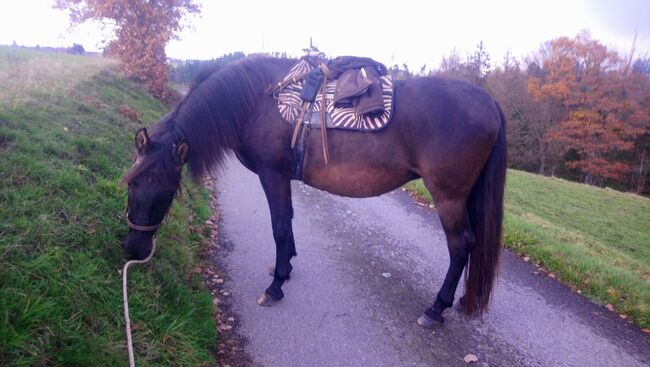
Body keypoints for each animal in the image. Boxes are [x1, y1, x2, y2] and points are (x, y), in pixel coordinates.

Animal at [121, 56, 506, 326]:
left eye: (165, 187)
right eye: (132, 182)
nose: (133, 248)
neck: (256, 100)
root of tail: (489, 102)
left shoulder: (272, 174)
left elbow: (279, 226)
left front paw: (276, 286)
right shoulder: (282, 178)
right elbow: (288, 222)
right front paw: (286, 267)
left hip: (449, 197)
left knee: (461, 245)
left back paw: (435, 308)